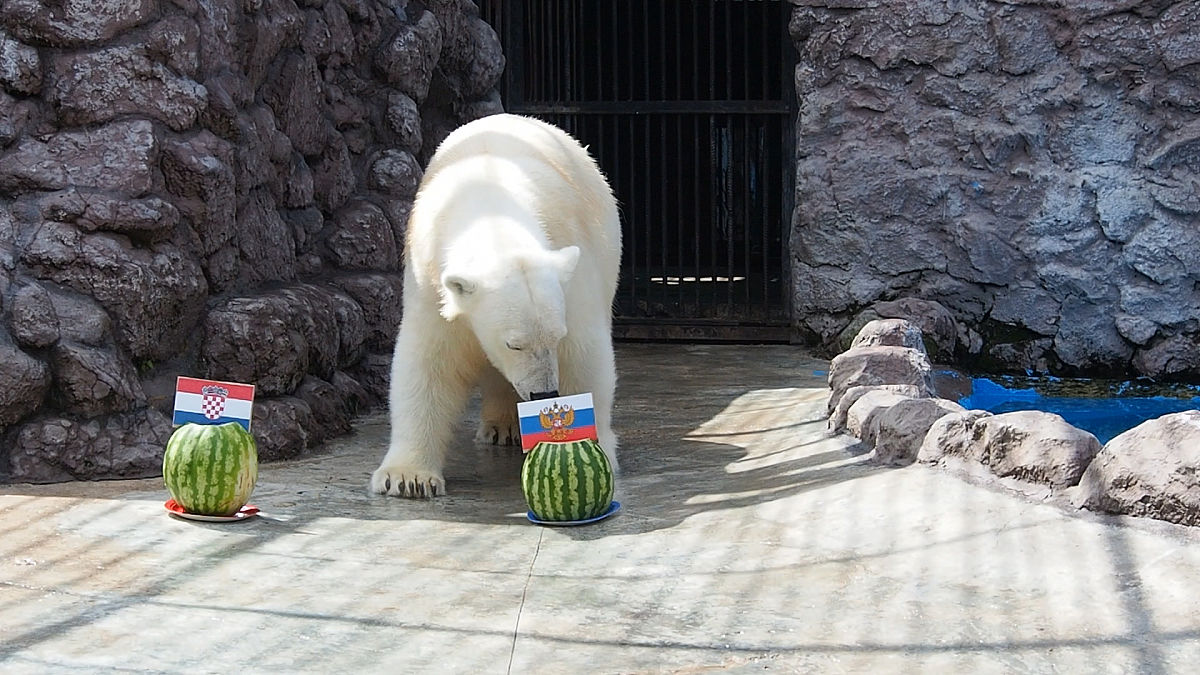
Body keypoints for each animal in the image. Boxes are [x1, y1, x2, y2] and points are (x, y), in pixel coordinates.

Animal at [370, 113, 622, 497]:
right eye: (513, 344)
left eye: (556, 338)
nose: (543, 391)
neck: (492, 212)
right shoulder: (432, 283)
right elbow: (429, 363)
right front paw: (408, 477)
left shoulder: (570, 273)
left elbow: (584, 353)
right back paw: (502, 426)